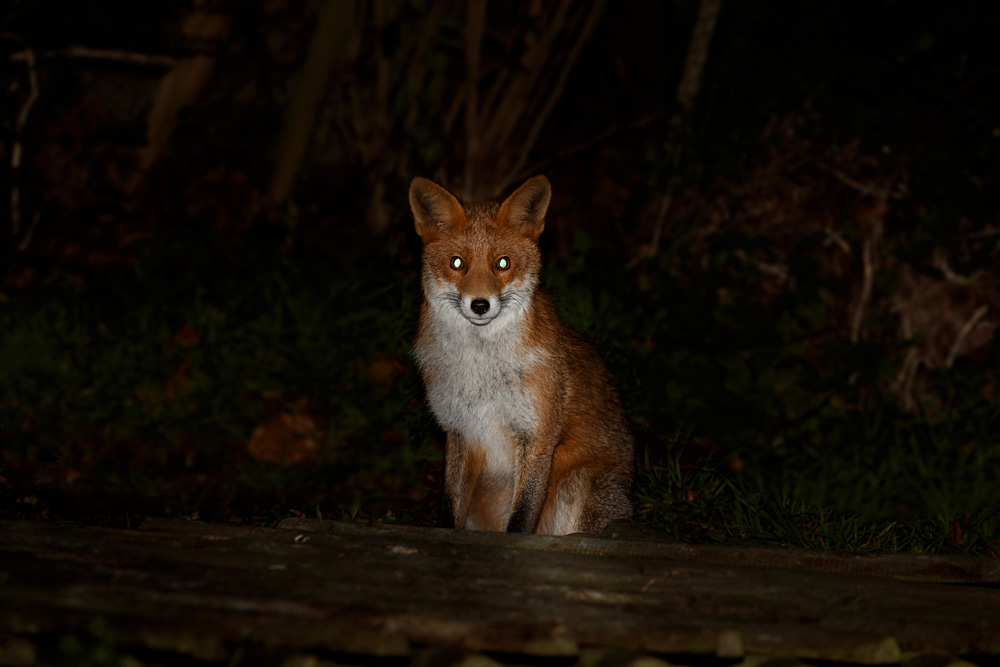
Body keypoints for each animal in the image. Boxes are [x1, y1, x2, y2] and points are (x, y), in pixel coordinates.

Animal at [410, 174, 634, 536]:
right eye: (457, 263)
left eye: (503, 263)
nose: (480, 304)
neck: (480, 369)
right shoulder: (459, 432)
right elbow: (449, 510)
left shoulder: (539, 435)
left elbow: (520, 521)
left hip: (578, 484)